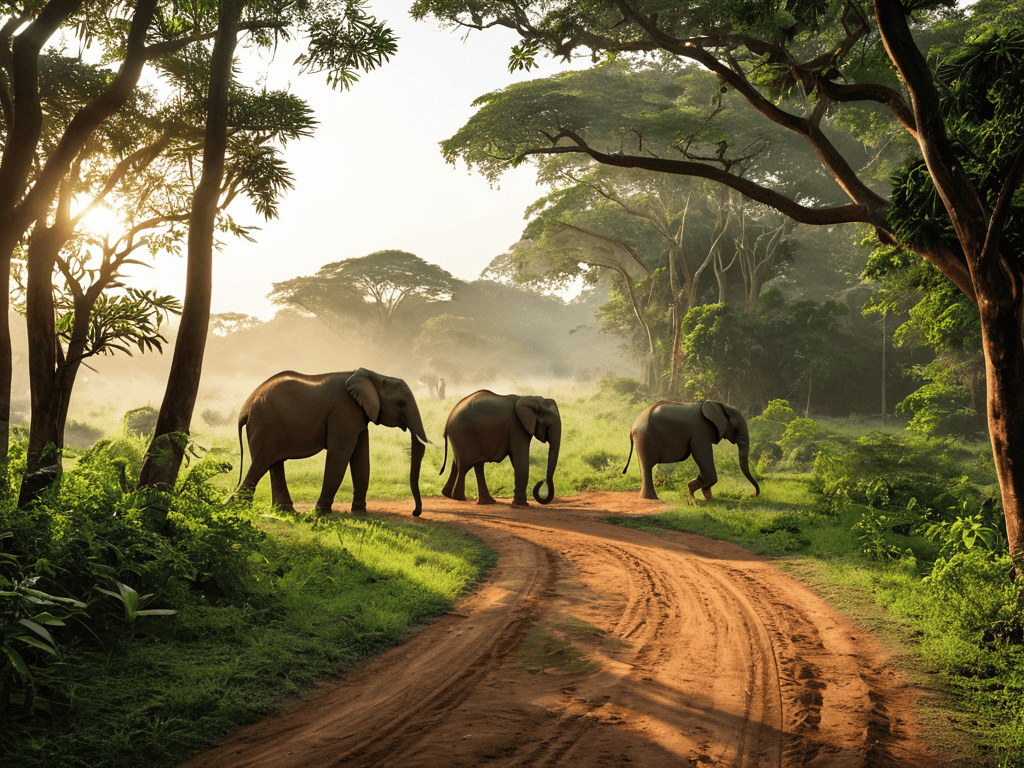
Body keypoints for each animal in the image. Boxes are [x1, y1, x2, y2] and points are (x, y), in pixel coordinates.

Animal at [237, 368, 430, 516]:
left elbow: (361, 459)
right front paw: (320, 513)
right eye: (401, 403)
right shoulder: (344, 411)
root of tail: (246, 406)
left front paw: (360, 514)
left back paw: (285, 512)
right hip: (266, 424)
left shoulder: (359, 415)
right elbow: (340, 455)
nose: (415, 513)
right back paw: (240, 509)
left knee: (274, 463)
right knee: (262, 462)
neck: (373, 376)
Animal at [622, 400, 760, 501]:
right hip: (645, 437)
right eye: (736, 427)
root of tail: (632, 425)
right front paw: (695, 494)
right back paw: (652, 498)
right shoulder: (700, 432)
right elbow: (702, 457)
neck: (718, 405)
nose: (751, 495)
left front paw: (705, 497)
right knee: (647, 466)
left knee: (645, 467)